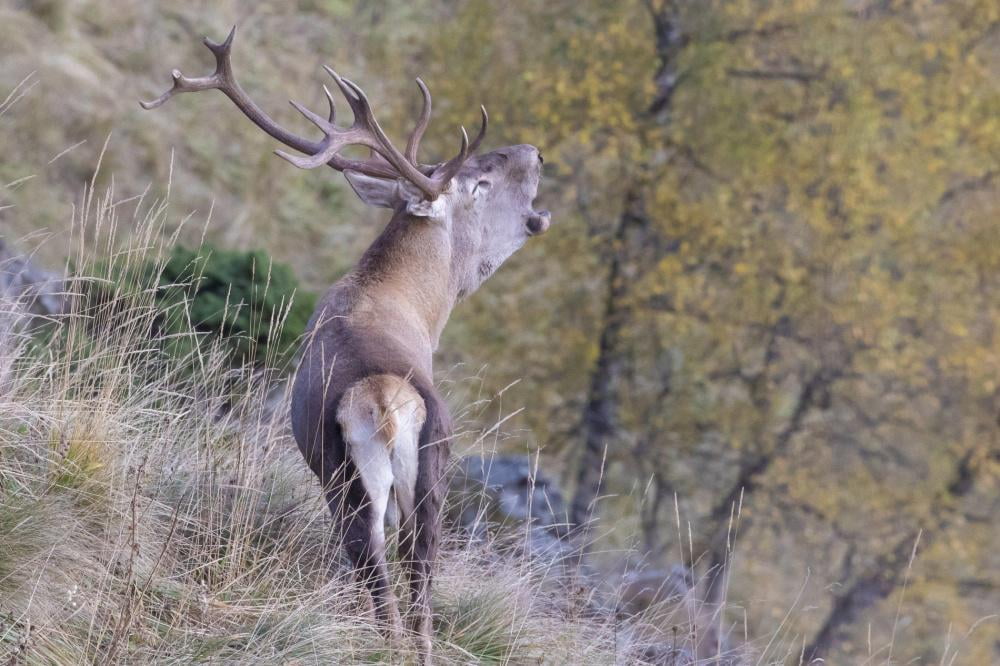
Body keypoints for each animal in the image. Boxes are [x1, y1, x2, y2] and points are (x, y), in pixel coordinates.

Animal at [142, 27, 552, 660]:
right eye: (482, 179)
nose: (536, 152)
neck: (423, 309)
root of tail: (383, 404)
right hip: (408, 475)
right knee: (409, 585)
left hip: (359, 479)